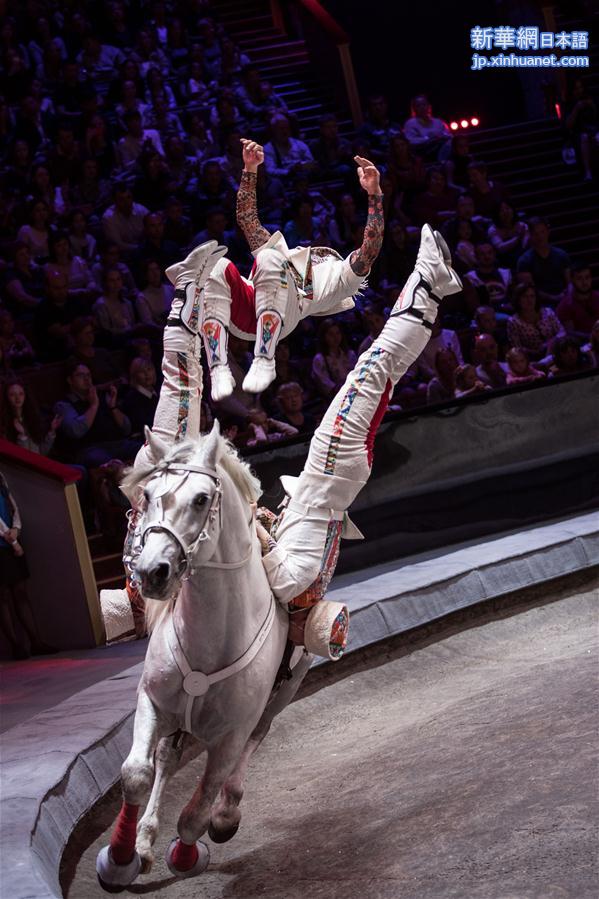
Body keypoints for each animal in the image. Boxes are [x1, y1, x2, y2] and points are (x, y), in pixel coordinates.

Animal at [96, 426, 312, 888]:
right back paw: (144, 842)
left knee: (256, 740)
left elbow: (195, 811)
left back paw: (226, 814)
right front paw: (120, 858)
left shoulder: (230, 735)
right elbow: (137, 773)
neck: (213, 636)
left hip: (286, 690)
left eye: (200, 499)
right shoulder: (153, 702)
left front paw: (185, 854)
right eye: (147, 494)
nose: (151, 572)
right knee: (167, 758)